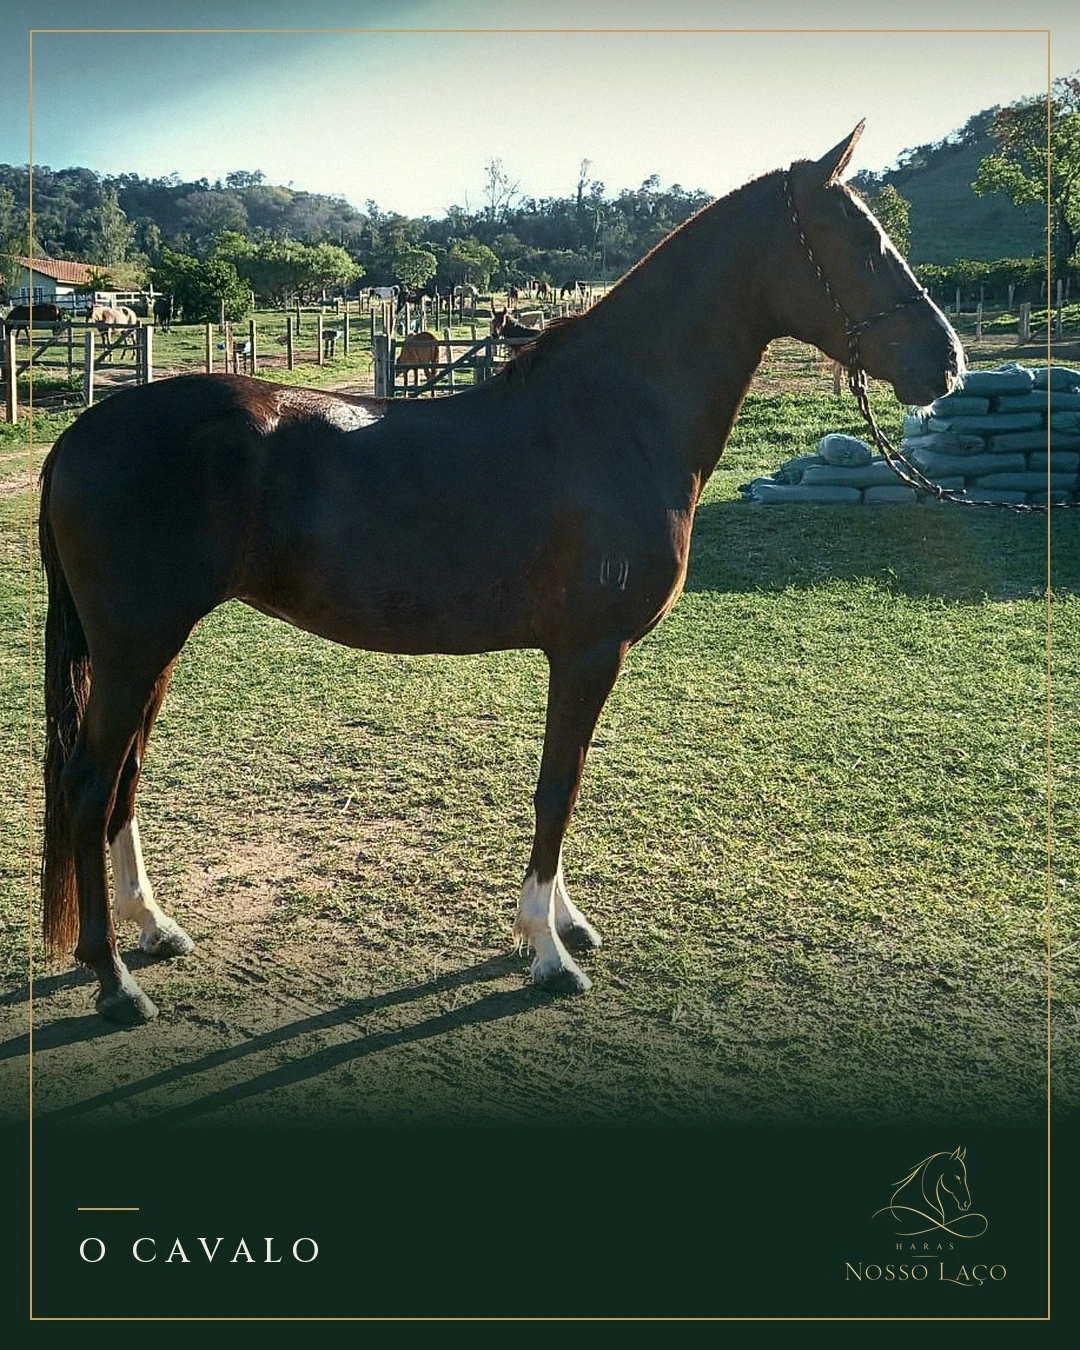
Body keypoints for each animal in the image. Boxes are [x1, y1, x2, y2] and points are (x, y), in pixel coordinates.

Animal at [37, 125, 962, 1024]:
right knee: (87, 785)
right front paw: (547, 951)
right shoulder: (589, 651)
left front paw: (564, 925)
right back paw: (113, 978)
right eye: (865, 241)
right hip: (135, 650)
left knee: (124, 781)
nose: (945, 362)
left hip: (151, 652)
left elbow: (566, 784)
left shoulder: (585, 655)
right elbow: (558, 788)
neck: (616, 418)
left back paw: (153, 928)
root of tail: (80, 435)